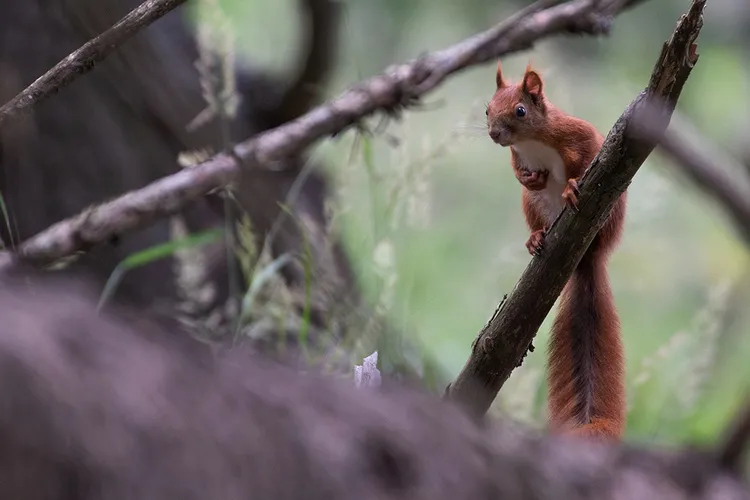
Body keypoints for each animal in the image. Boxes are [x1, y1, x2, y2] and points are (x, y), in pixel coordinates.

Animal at [488, 62, 628, 442]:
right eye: (487, 109)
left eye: (520, 111)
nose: (493, 134)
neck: (531, 143)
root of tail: (587, 255)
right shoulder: (516, 157)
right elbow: (516, 171)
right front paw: (530, 177)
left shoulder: (577, 132)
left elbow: (586, 152)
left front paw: (570, 183)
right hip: (532, 206)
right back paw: (535, 238)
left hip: (610, 214)